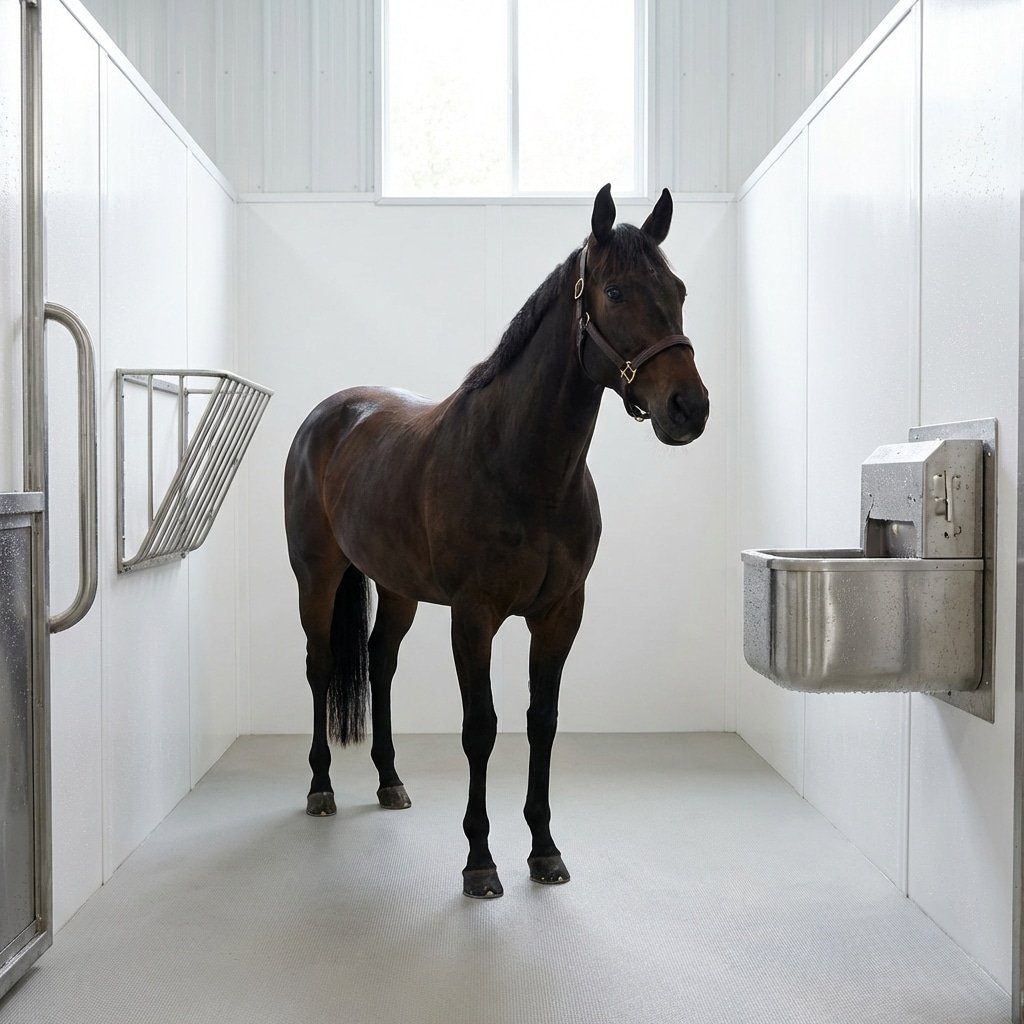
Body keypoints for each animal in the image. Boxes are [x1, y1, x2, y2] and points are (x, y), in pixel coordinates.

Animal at [284, 185, 709, 899]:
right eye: (615, 292)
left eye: (678, 289)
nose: (690, 408)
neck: (522, 466)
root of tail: (328, 415)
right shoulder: (473, 614)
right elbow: (479, 728)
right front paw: (480, 860)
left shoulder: (560, 614)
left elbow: (543, 723)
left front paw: (544, 849)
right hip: (317, 576)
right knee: (320, 667)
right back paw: (320, 789)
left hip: (398, 589)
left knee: (380, 660)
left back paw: (390, 781)